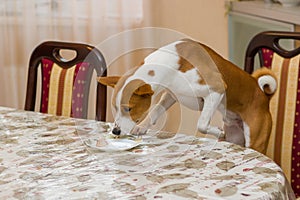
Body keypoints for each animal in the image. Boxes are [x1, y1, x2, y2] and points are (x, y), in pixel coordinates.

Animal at [99, 38, 278, 153]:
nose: (115, 131)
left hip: (255, 140)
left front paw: (217, 131)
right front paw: (141, 127)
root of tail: (264, 97)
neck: (174, 62)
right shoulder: (171, 94)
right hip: (235, 137)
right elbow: (155, 111)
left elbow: (202, 124)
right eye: (115, 107)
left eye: (128, 109)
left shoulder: (217, 89)